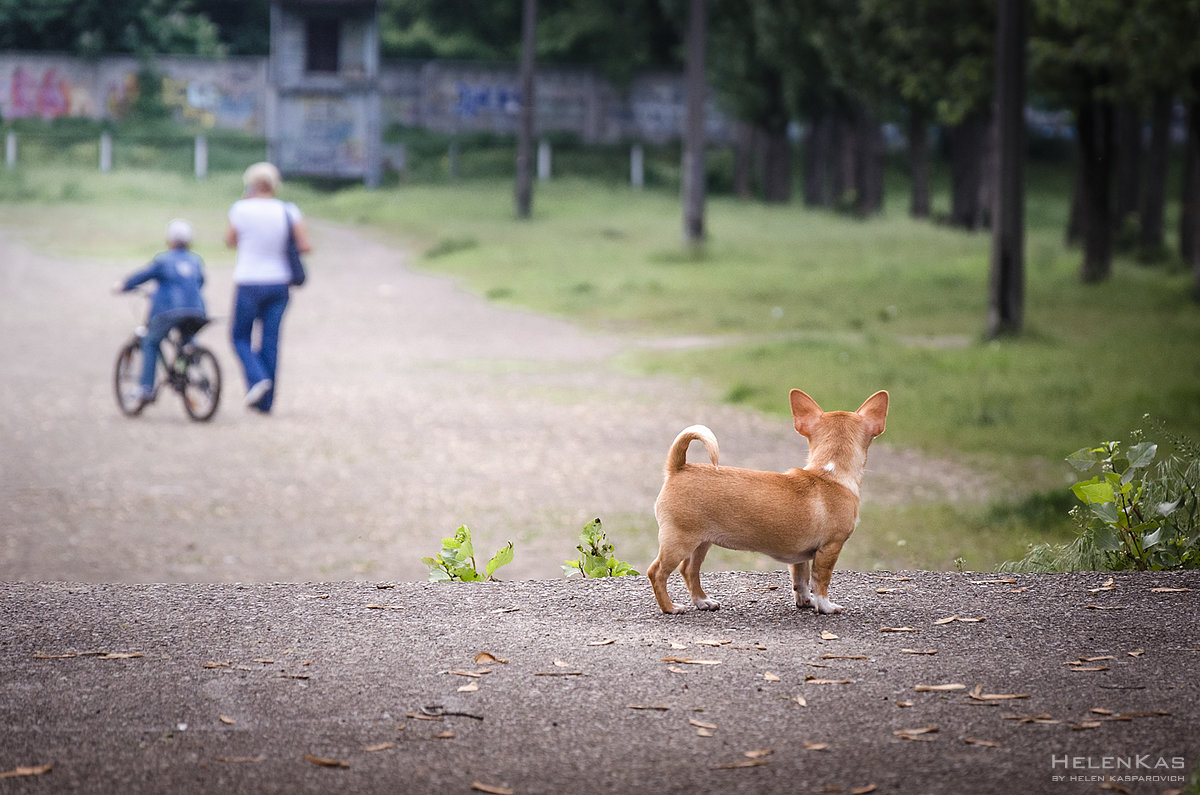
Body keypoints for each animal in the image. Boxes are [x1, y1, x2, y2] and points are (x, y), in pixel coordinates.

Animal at [648, 389, 892, 619]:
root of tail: (679, 467)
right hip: (680, 542)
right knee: (657, 572)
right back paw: (669, 607)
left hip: (701, 543)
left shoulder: (800, 556)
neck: (829, 473)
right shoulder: (830, 548)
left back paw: (702, 602)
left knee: (689, 570)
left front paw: (805, 602)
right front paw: (825, 606)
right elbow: (820, 582)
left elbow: (801, 581)